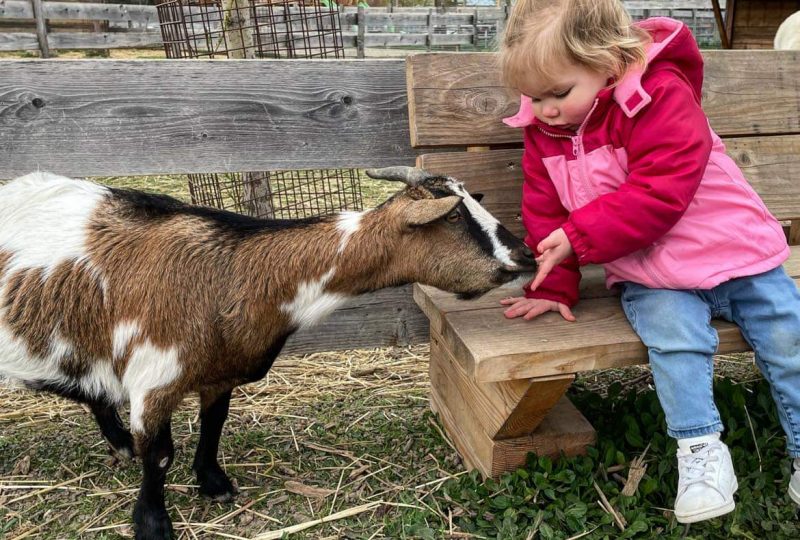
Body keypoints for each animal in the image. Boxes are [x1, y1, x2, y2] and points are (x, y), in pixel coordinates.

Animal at [1, 168, 536, 536]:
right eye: (456, 217)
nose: (527, 256)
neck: (235, 274)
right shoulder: (153, 379)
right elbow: (160, 455)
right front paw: (152, 524)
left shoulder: (219, 371)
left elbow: (213, 425)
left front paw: (214, 483)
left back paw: (117, 443)